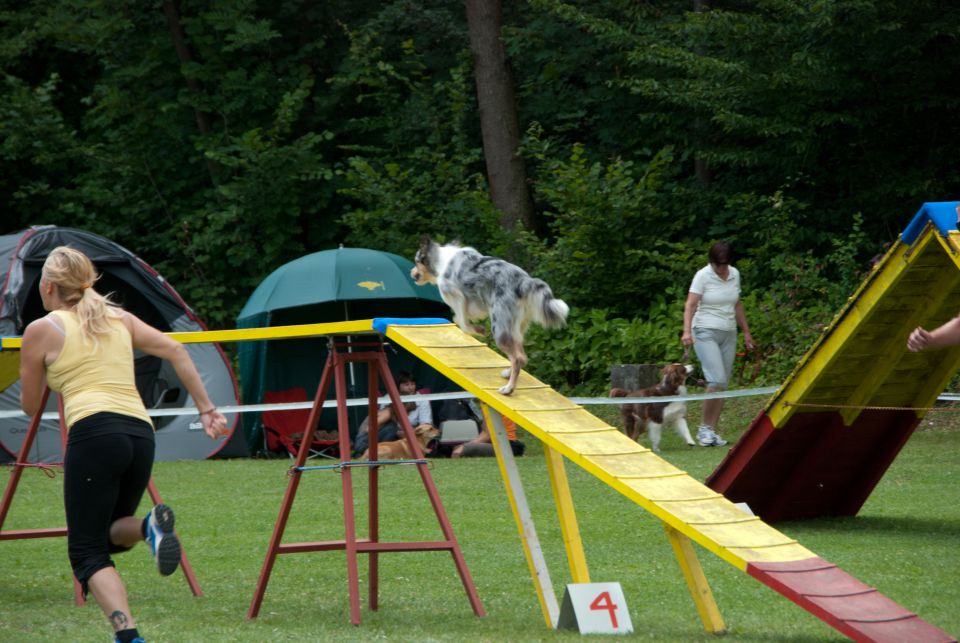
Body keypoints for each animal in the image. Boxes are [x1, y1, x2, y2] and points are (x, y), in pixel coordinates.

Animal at [408, 236, 568, 398]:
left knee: (518, 358)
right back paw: (508, 373)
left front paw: (479, 330)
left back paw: (508, 389)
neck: (440, 261)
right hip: (516, 328)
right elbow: (460, 320)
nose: (411, 272)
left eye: (416, 261)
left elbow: (461, 322)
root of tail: (525, 281)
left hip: (499, 328)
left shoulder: (458, 296)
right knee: (521, 356)